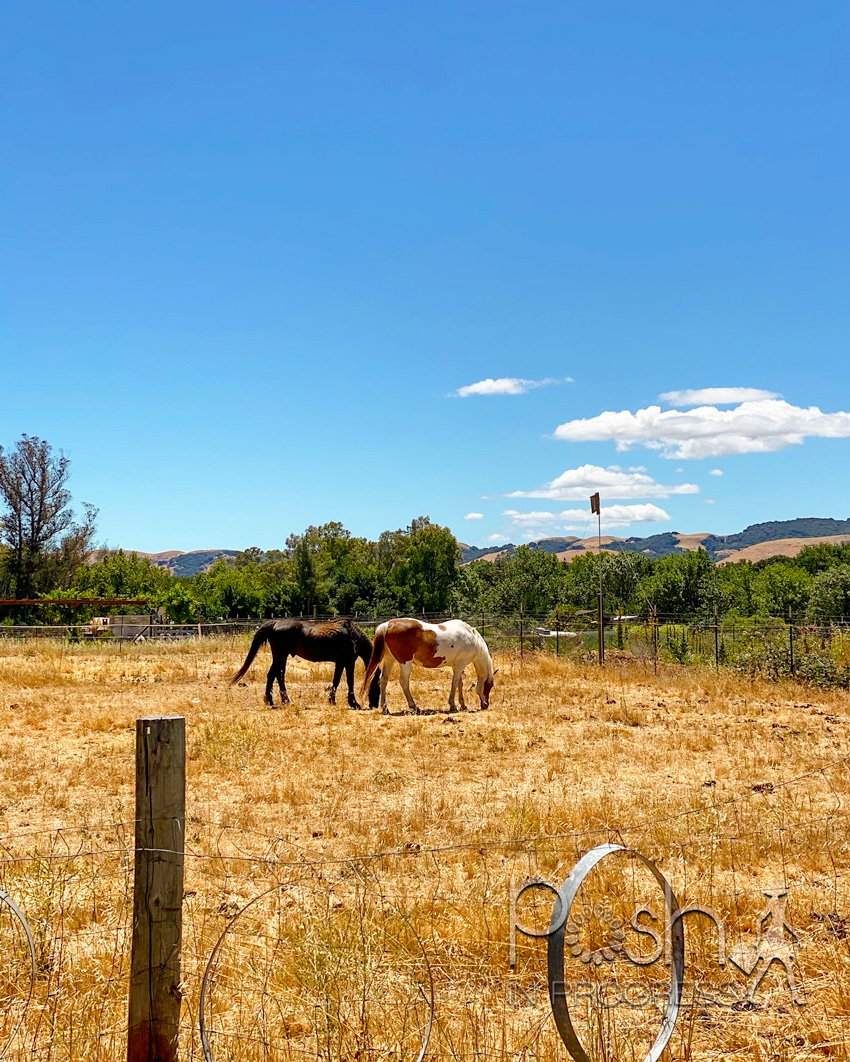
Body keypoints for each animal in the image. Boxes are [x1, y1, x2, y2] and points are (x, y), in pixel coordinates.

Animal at [230, 618, 381, 709]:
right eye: (378, 685)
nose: (375, 705)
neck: (352, 635)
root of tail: (275, 623)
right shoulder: (349, 662)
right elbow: (350, 682)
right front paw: (354, 704)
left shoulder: (340, 662)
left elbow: (336, 681)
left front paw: (332, 700)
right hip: (281, 655)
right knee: (279, 675)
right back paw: (285, 700)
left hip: (279, 656)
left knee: (272, 675)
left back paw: (271, 701)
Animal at [361, 617, 496, 715]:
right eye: (490, 686)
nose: (486, 705)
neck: (473, 637)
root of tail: (388, 624)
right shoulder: (460, 664)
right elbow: (455, 683)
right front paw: (453, 705)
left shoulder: (456, 665)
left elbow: (459, 684)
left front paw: (463, 705)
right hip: (405, 663)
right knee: (404, 682)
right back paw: (414, 707)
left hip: (389, 660)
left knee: (383, 680)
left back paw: (385, 708)